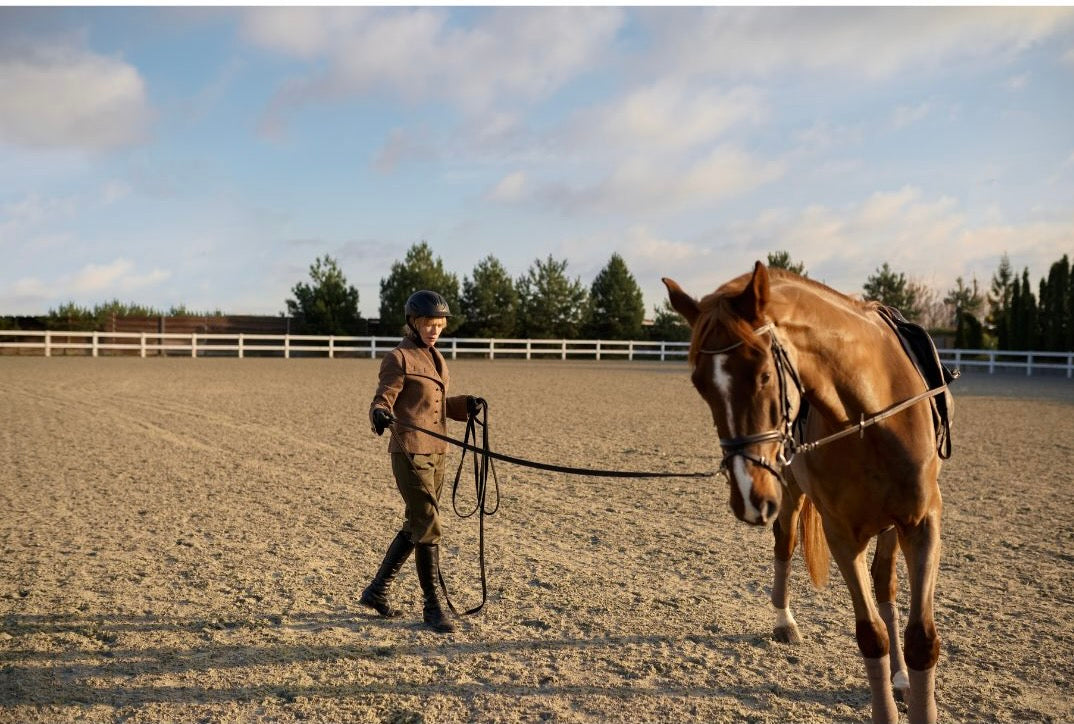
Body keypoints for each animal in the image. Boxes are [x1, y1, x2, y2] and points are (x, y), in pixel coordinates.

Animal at [664, 262, 951, 724]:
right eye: (699, 384)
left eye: (765, 374)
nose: (747, 496)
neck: (870, 416)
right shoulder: (841, 534)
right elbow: (870, 635)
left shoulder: (922, 523)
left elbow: (921, 638)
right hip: (790, 493)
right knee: (785, 543)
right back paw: (785, 622)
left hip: (890, 525)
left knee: (885, 584)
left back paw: (901, 678)